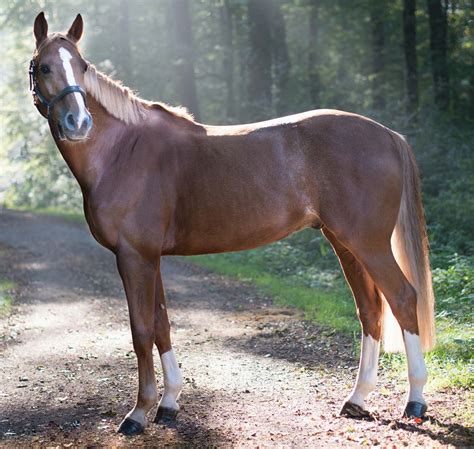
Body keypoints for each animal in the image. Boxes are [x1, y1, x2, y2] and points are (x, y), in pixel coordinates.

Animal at [29, 13, 436, 434]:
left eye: (82, 66)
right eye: (44, 67)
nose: (79, 122)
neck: (121, 151)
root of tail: (388, 135)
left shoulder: (134, 256)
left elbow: (141, 331)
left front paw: (139, 412)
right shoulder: (150, 257)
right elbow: (161, 325)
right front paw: (169, 403)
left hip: (368, 244)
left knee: (403, 298)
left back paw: (415, 400)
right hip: (345, 242)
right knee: (370, 309)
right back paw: (357, 399)